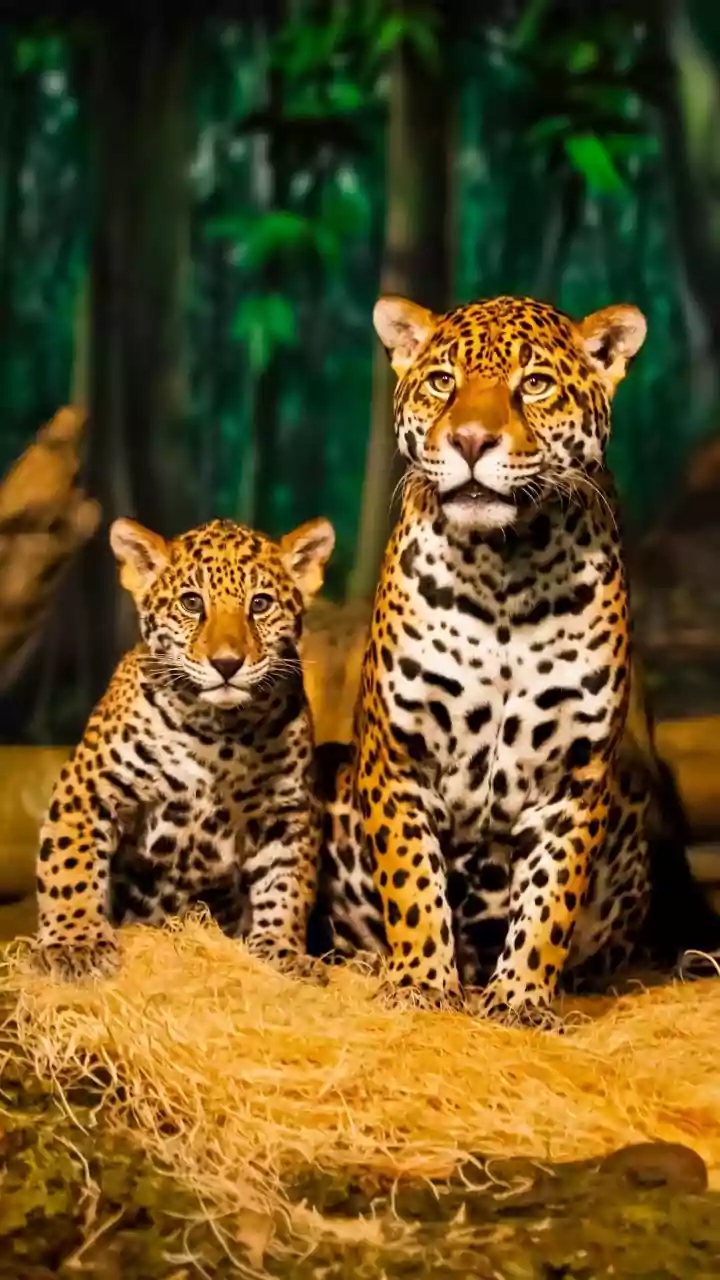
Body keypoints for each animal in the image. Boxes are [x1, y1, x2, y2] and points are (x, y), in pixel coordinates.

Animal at [35, 512, 335, 982]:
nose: (227, 664)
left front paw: (281, 949)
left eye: (260, 604)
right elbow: (70, 865)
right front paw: (75, 943)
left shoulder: (289, 813)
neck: (220, 733)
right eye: (192, 603)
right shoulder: (89, 788)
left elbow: (288, 884)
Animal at [311, 291, 686, 1026]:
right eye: (441, 383)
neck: (504, 573)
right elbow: (412, 882)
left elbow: (548, 900)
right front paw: (422, 982)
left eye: (534, 385)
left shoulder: (576, 777)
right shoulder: (399, 758)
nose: (470, 442)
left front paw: (521, 997)